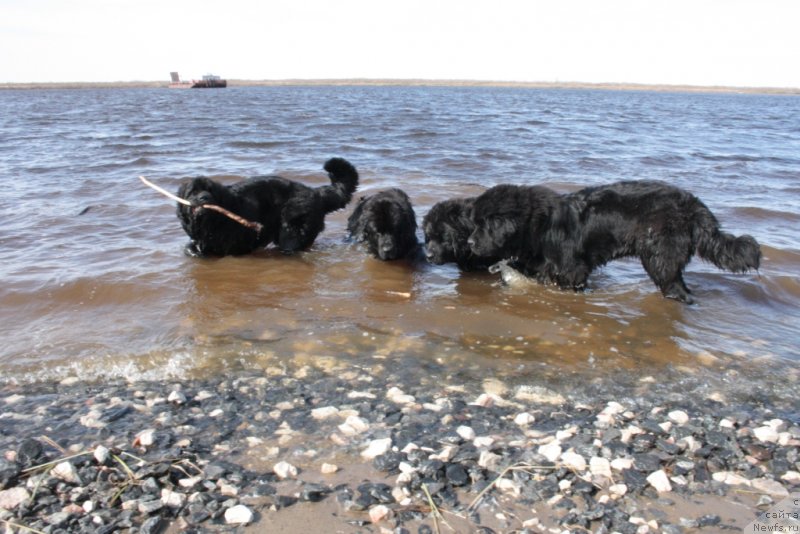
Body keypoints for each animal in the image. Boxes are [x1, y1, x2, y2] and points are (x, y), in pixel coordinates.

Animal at [180, 159, 360, 258]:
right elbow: (190, 247)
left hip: (292, 227)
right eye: (193, 192)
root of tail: (315, 192)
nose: (204, 197)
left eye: (211, 191)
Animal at [468, 181, 764, 304]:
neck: (538, 227)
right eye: (475, 223)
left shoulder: (572, 270)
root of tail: (693, 205)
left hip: (659, 255)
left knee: (675, 285)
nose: (470, 242)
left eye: (484, 225)